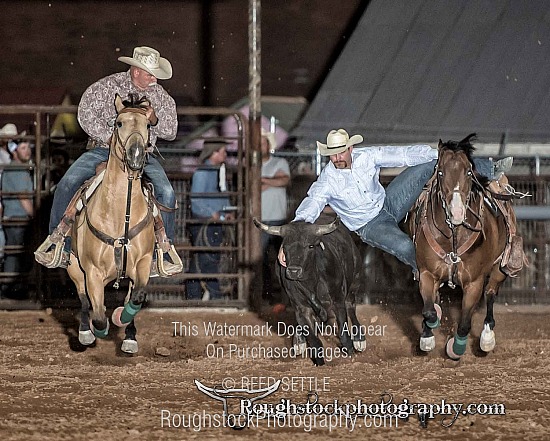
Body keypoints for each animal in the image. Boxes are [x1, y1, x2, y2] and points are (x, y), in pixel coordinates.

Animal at [68, 93, 156, 354]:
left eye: (148, 125)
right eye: (119, 123)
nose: (136, 154)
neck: (120, 216)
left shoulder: (143, 262)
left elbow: (136, 297)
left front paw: (121, 319)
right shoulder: (92, 272)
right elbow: (97, 313)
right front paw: (98, 329)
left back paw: (128, 336)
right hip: (73, 267)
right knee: (83, 299)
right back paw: (86, 334)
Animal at [410, 132, 528, 360]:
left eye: (468, 171)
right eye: (440, 172)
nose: (456, 212)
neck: (453, 239)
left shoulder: (474, 282)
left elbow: (464, 323)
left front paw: (455, 349)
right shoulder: (427, 273)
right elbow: (428, 310)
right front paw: (428, 336)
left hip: (499, 268)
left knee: (490, 294)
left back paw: (487, 338)